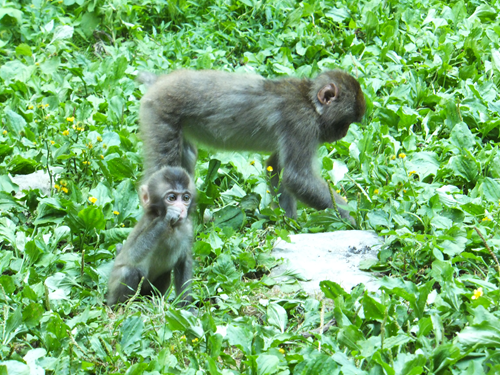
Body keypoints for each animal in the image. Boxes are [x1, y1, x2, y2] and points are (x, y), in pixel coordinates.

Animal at [107, 166, 195, 306]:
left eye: (185, 198)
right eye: (172, 198)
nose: (181, 209)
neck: (172, 228)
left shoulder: (187, 228)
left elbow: (183, 261)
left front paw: (187, 307)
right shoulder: (148, 221)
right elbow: (131, 255)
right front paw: (165, 218)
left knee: (165, 273)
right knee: (128, 271)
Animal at [139, 69, 366, 222]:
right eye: (345, 123)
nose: (343, 133)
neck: (309, 102)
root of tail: (159, 82)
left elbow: (275, 167)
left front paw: (289, 222)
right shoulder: (301, 124)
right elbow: (297, 177)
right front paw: (352, 218)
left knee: (186, 158)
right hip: (161, 114)